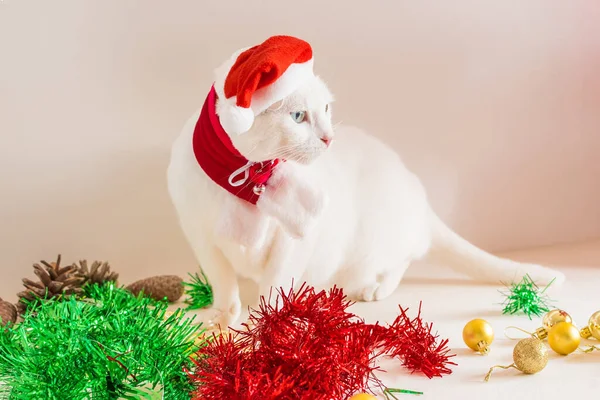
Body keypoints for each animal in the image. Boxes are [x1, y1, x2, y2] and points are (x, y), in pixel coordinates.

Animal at [166, 37, 564, 328]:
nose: (329, 138)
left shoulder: (290, 246)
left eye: (326, 109)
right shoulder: (202, 239)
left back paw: (374, 286)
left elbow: (274, 286)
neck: (248, 177)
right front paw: (222, 316)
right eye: (298, 116)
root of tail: (417, 194)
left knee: (402, 259)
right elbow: (223, 283)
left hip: (378, 238)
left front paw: (268, 326)